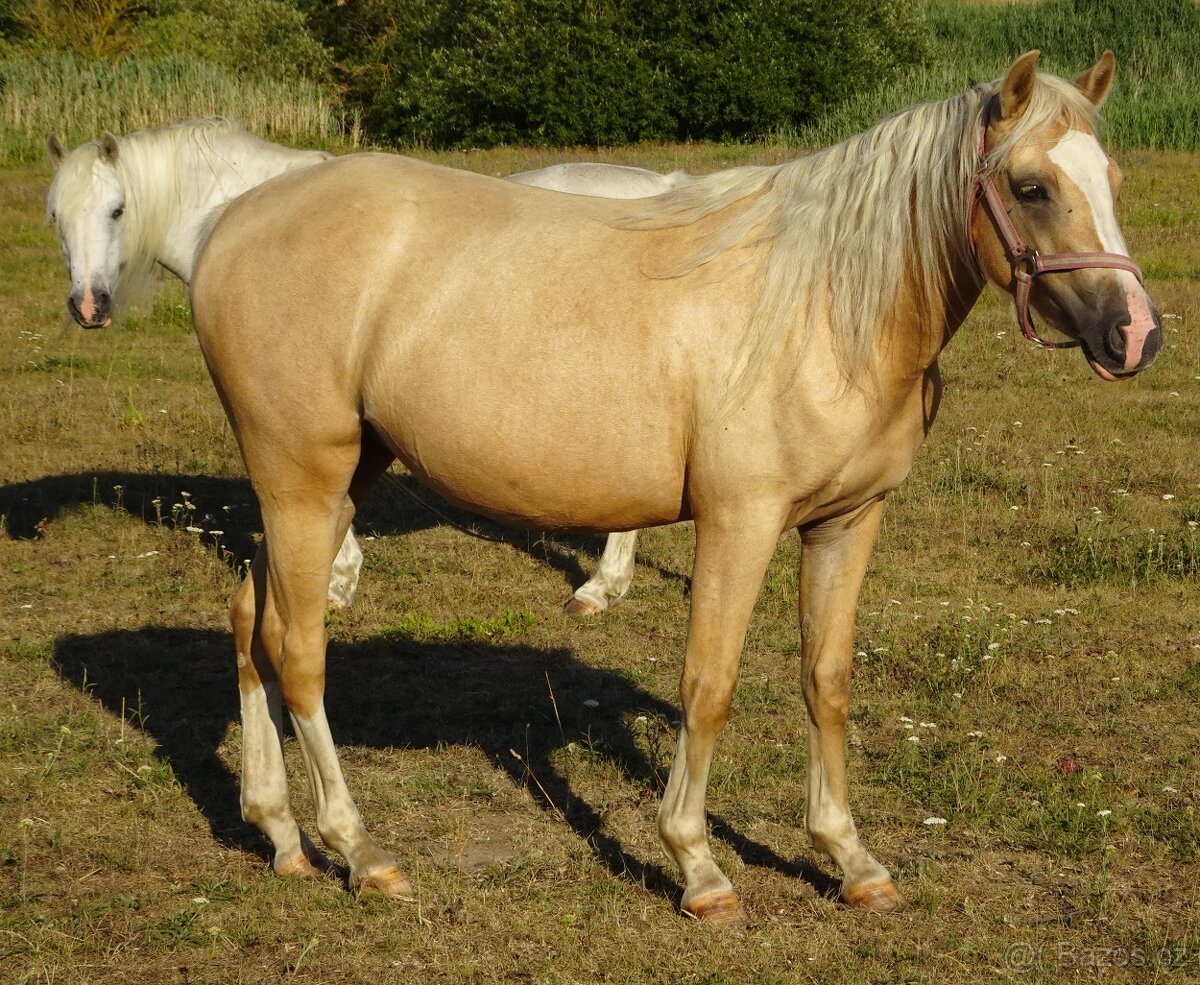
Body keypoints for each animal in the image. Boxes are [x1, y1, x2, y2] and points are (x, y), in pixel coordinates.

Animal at [185, 51, 1160, 923]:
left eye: (1112, 177)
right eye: (1031, 186)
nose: (1136, 334)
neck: (824, 307)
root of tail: (230, 221)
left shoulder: (848, 522)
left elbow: (827, 679)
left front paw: (851, 858)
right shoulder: (740, 522)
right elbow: (710, 684)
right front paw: (699, 866)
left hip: (335, 480)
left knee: (251, 620)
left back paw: (278, 833)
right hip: (303, 479)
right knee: (299, 650)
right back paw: (359, 850)